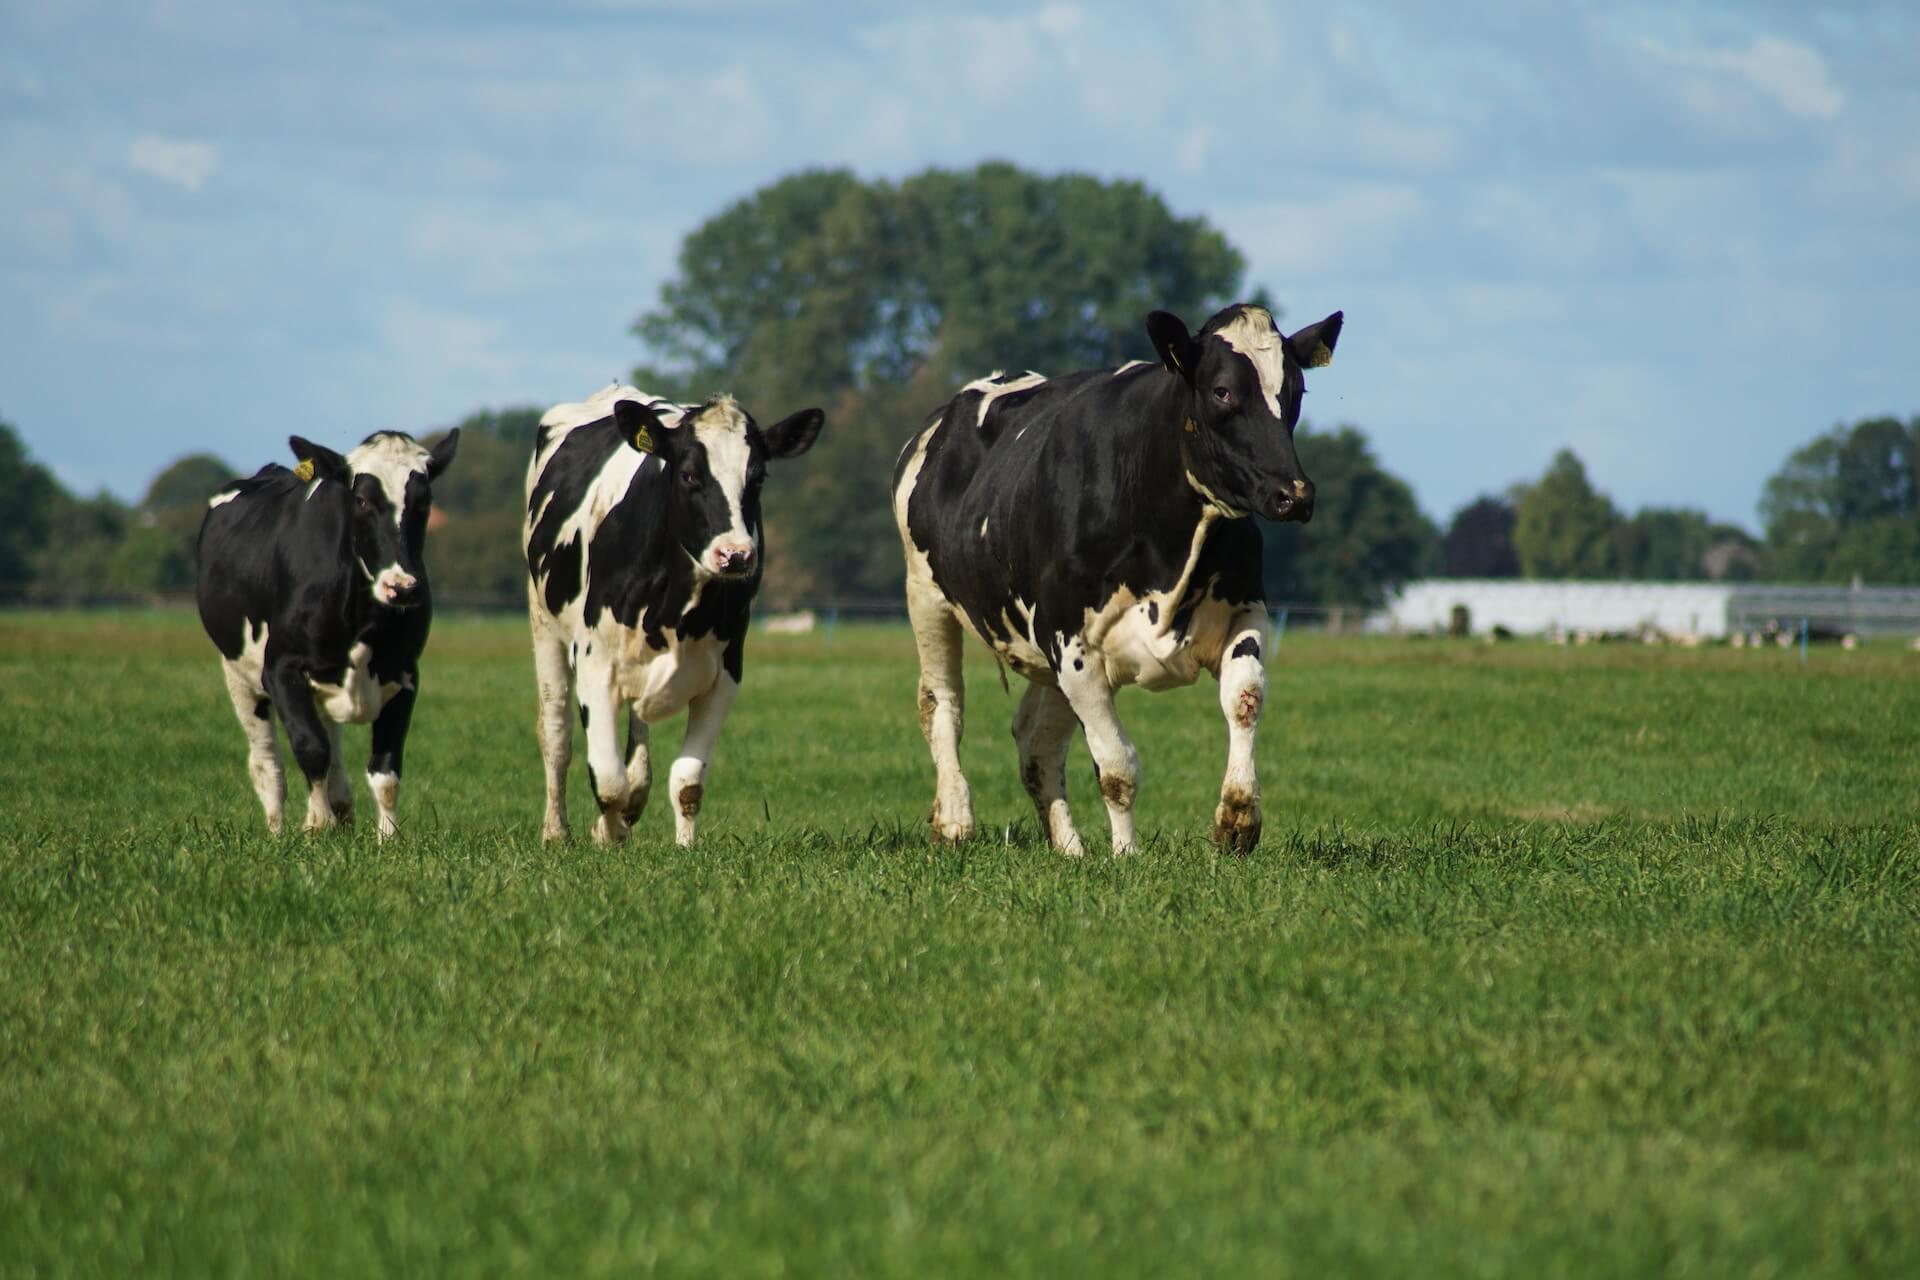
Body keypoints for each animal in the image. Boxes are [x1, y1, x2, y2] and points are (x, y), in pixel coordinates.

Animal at [197, 429, 459, 839]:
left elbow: (385, 770)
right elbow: (311, 748)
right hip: (239, 675)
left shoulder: (405, 673)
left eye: (424, 500)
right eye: (362, 500)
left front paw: (388, 839)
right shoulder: (281, 669)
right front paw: (316, 824)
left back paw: (341, 809)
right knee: (267, 764)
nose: (402, 587)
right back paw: (279, 830)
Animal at [524, 384, 823, 845]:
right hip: (544, 625)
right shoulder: (595, 662)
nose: (736, 554)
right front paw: (608, 833)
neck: (677, 607)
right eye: (688, 475)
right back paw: (557, 831)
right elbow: (607, 779)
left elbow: (687, 782)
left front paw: (684, 847)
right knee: (556, 733)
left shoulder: (725, 674)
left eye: (757, 478)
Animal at [891, 302, 1342, 855]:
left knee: (1035, 740)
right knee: (942, 704)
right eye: (1222, 391)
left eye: (1296, 392)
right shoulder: (1071, 644)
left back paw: (1070, 849)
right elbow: (1116, 767)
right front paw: (1126, 856)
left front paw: (1237, 819)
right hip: (926, 597)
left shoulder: (1245, 609)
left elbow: (1245, 698)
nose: (1293, 493)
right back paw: (956, 820)